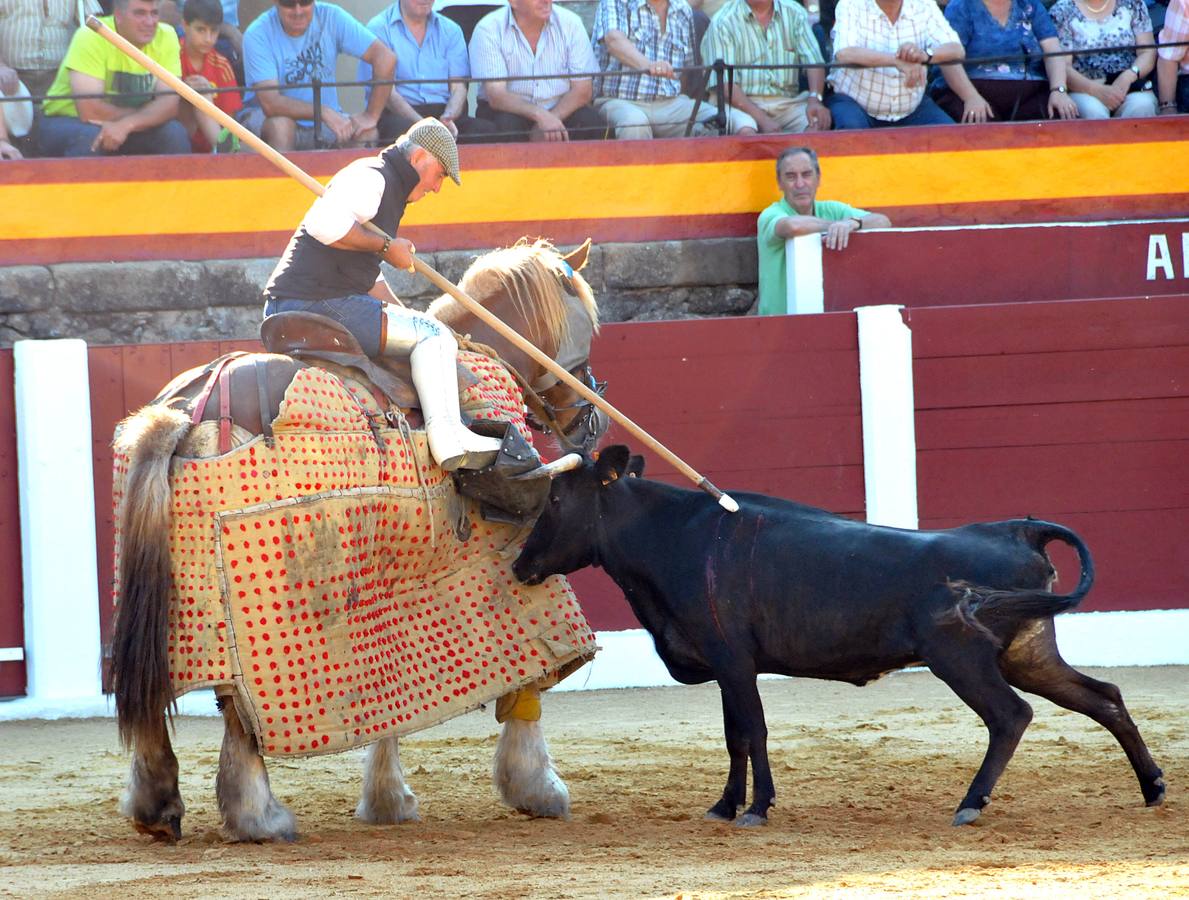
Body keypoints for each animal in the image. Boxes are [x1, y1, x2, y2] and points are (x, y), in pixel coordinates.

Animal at [109, 238, 604, 841]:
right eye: (588, 327)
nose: (591, 421)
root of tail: (189, 407)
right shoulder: (514, 564)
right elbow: (527, 675)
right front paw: (536, 787)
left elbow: (386, 694)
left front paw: (387, 799)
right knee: (237, 703)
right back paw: (258, 815)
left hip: (163, 591)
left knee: (153, 685)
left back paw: (157, 805)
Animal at [511, 447, 1160, 827]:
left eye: (557, 499)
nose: (520, 565)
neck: (671, 537)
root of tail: (1017, 531)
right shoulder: (725, 666)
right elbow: (733, 736)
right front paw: (724, 806)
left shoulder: (734, 659)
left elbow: (751, 730)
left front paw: (757, 809)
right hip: (1029, 652)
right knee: (1103, 697)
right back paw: (1152, 787)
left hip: (959, 657)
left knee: (1011, 716)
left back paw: (970, 804)